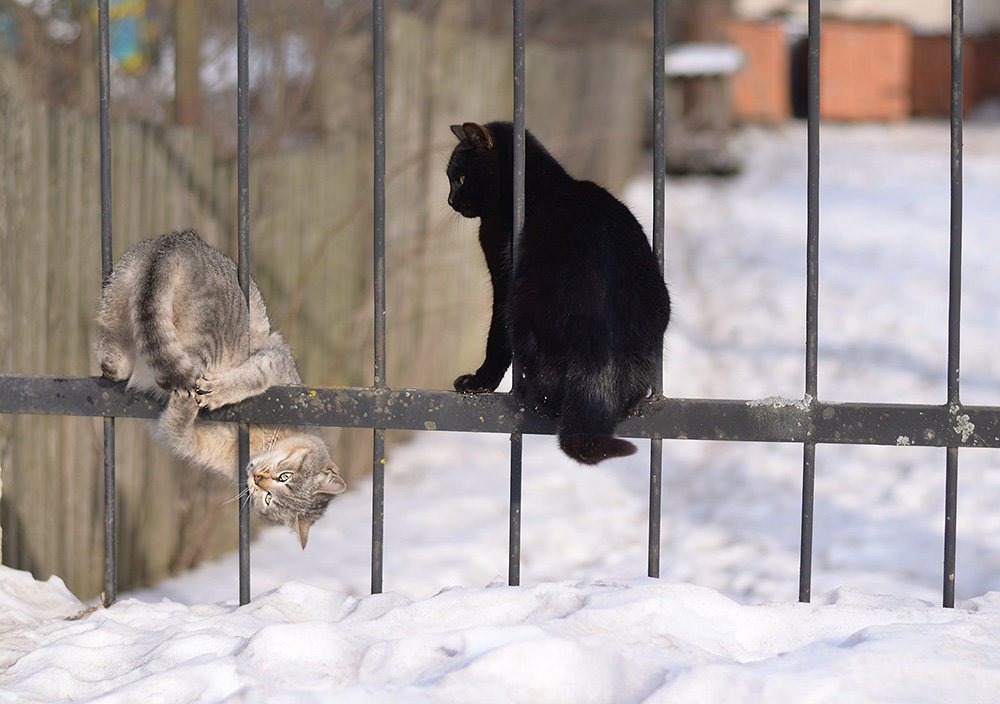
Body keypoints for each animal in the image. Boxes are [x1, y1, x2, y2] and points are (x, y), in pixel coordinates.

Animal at [96, 228, 348, 548]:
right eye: (285, 477)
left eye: (268, 499)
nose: (257, 478)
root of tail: (176, 244)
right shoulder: (276, 358)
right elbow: (256, 375)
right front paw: (218, 391)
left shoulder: (186, 440)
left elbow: (173, 428)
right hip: (213, 341)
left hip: (116, 301)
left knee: (111, 348)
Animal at [448, 122, 672, 462]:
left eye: (459, 178)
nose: (449, 200)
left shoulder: (502, 279)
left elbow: (495, 339)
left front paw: (480, 381)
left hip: (523, 308)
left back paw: (527, 395)